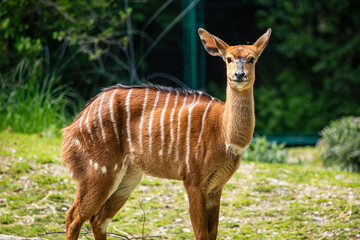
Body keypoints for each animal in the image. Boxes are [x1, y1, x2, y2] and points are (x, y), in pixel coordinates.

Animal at [61, 28, 270, 240]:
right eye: (228, 58)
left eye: (251, 59)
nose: (239, 74)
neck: (223, 133)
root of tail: (73, 126)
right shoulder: (193, 180)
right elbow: (201, 233)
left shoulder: (216, 186)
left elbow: (212, 233)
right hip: (98, 170)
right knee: (73, 216)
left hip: (128, 177)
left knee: (98, 219)